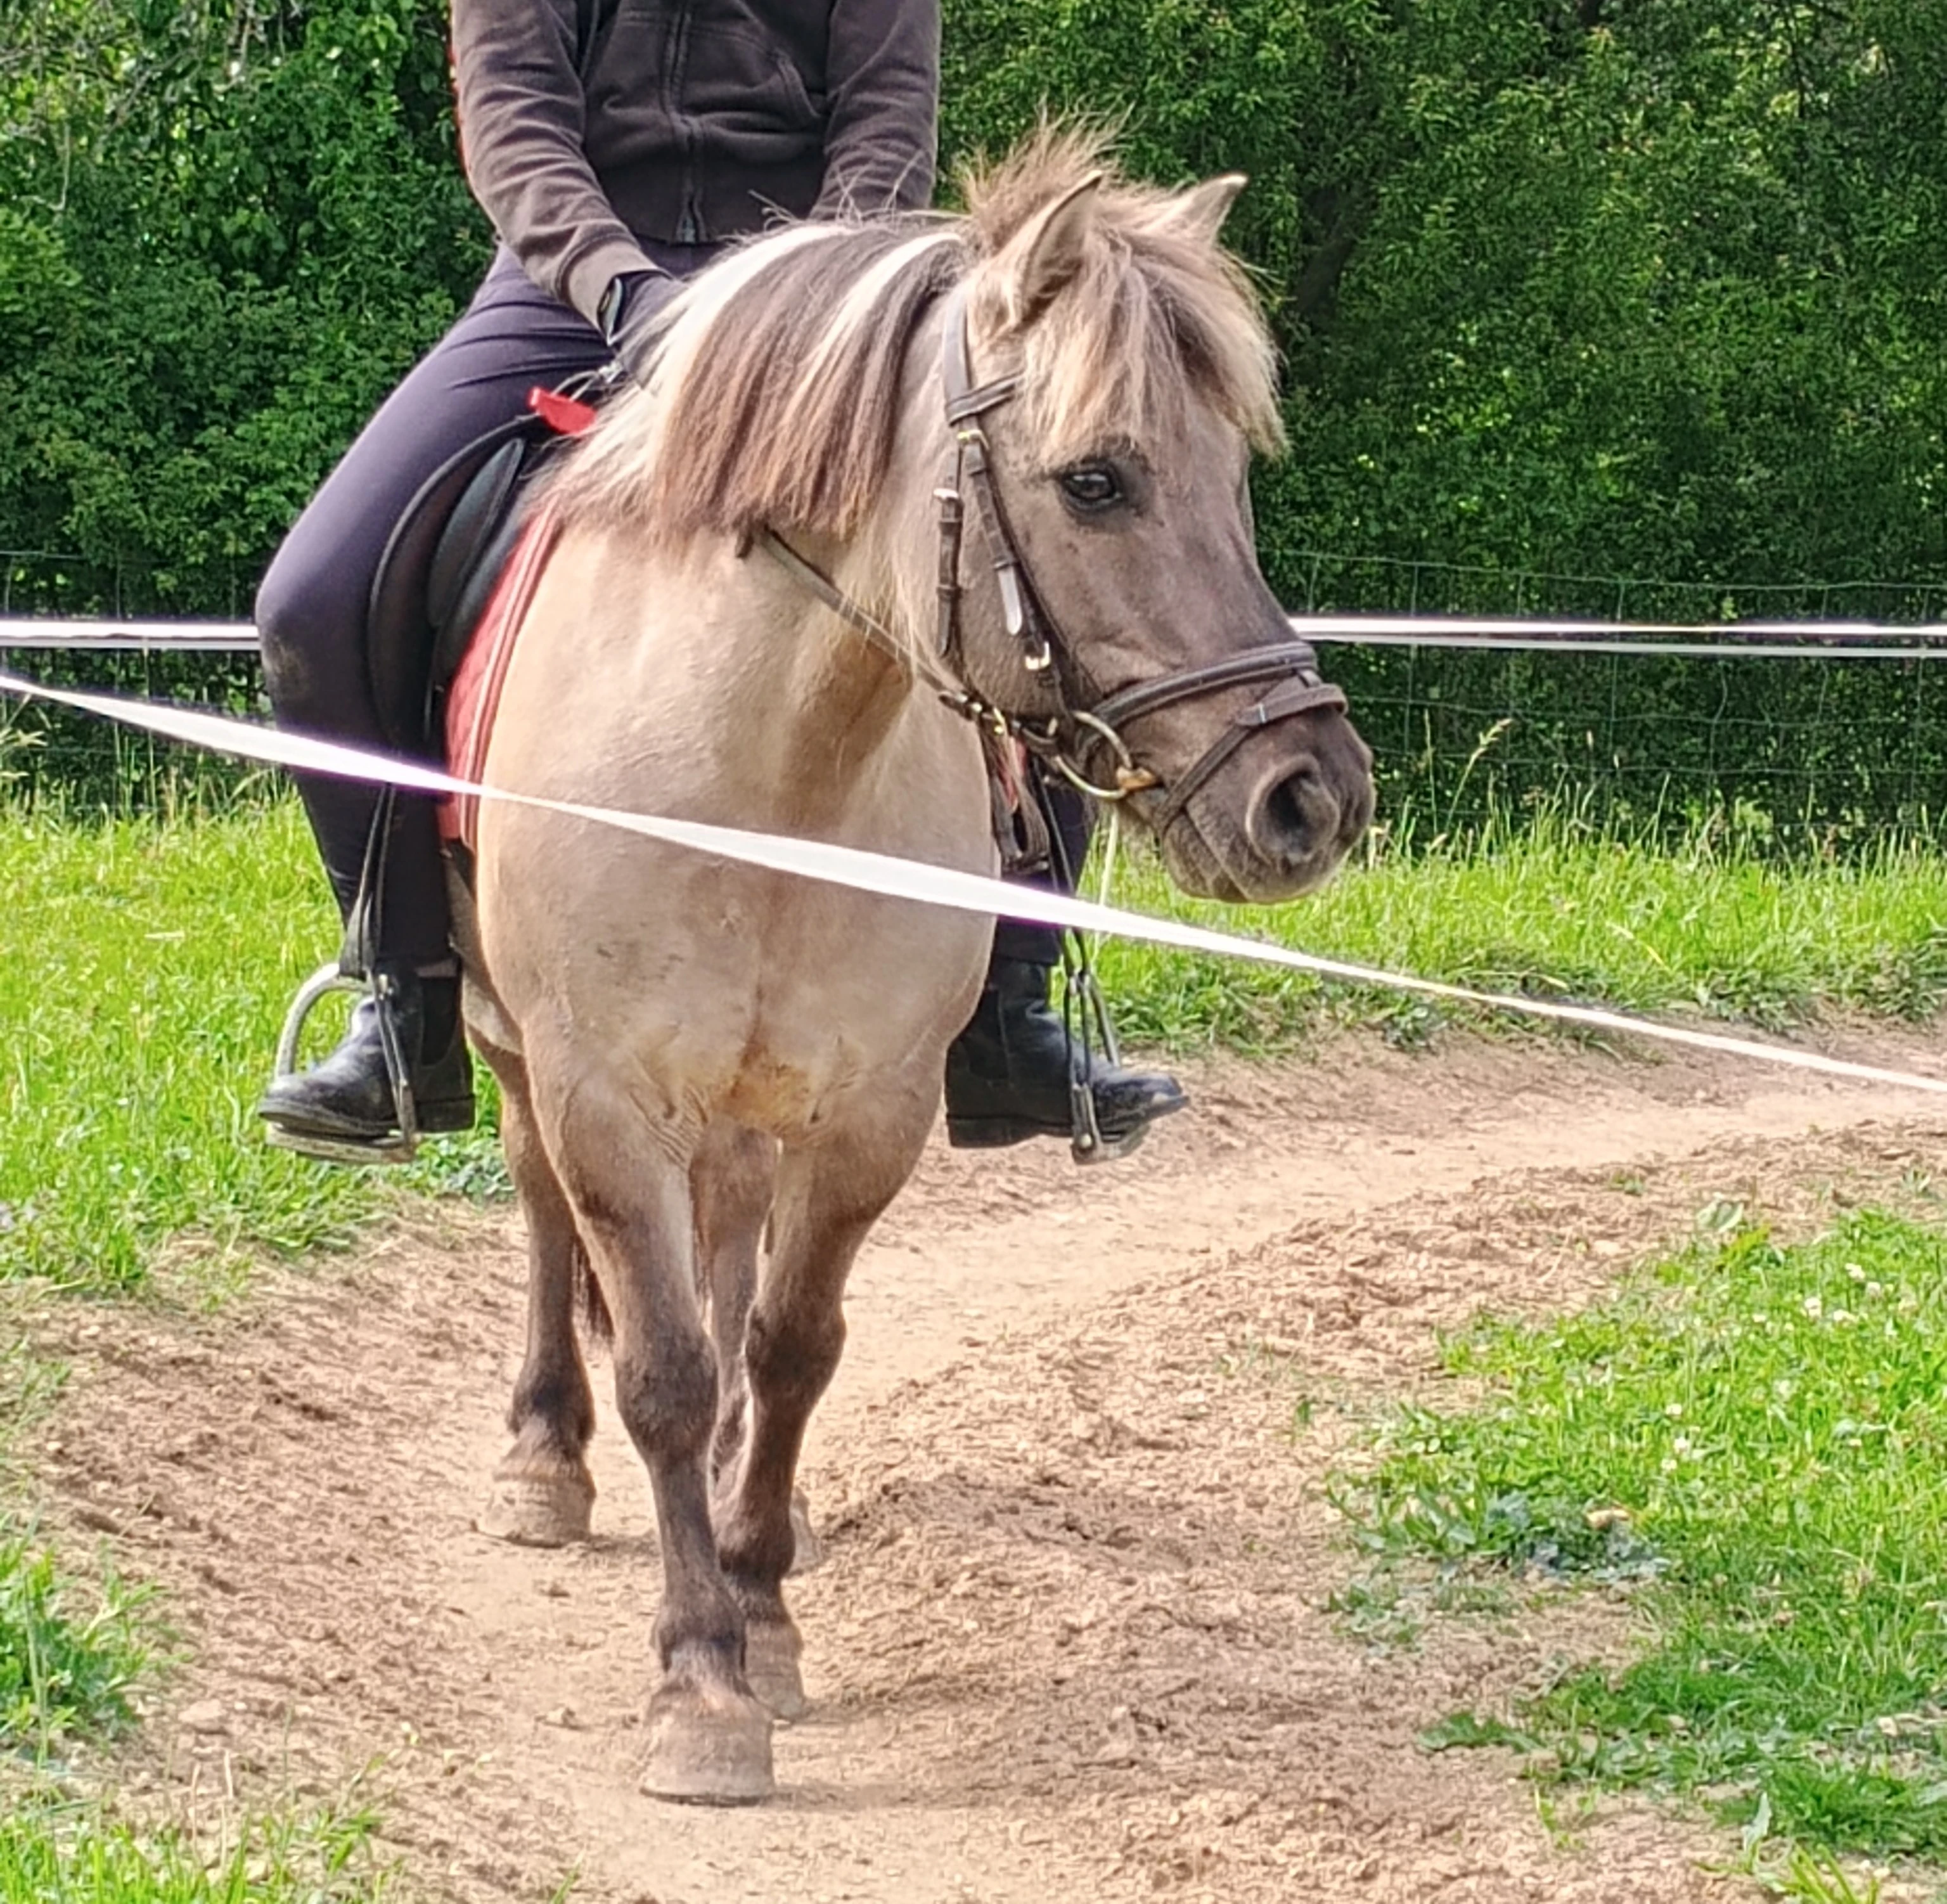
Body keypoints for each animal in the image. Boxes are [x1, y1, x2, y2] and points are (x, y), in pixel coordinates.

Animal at [454, 131, 1375, 1805]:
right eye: (1094, 479)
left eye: (1233, 475)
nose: (1307, 798)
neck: (768, 763)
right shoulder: (604, 1089)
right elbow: (668, 1369)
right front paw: (698, 1682)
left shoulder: (870, 1108)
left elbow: (789, 1345)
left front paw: (761, 1610)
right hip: (522, 1052)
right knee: (547, 1213)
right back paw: (544, 1454)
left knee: (735, 1262)